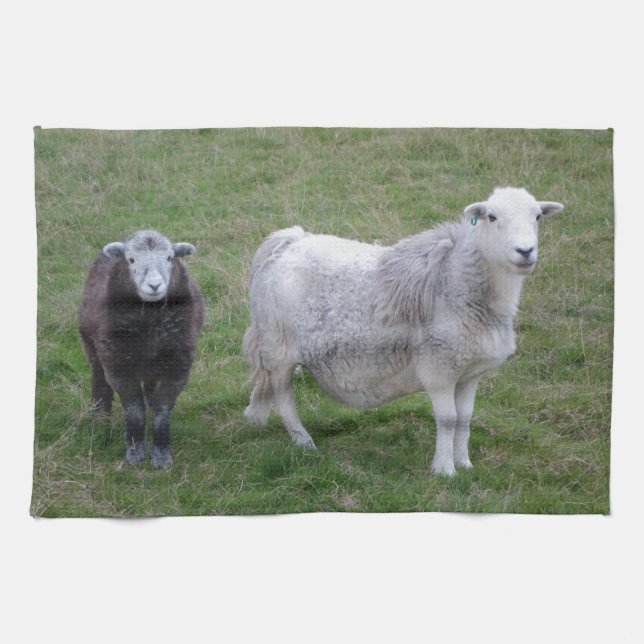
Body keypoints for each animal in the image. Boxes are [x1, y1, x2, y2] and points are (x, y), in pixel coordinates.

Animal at [79, 229, 204, 469]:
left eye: (169, 258)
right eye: (131, 260)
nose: (154, 286)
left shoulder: (177, 366)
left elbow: (161, 410)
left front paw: (161, 455)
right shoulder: (118, 367)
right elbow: (135, 410)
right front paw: (135, 453)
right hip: (93, 349)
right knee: (99, 381)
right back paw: (100, 420)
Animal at [243, 187, 564, 476]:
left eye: (537, 216)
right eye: (492, 217)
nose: (525, 251)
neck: (456, 280)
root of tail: (289, 240)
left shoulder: (470, 372)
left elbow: (465, 420)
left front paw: (465, 463)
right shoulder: (439, 367)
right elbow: (448, 419)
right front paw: (444, 470)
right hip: (279, 345)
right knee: (284, 396)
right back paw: (303, 441)